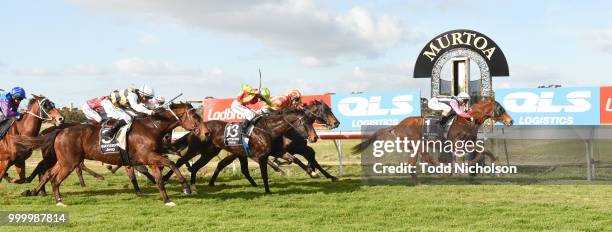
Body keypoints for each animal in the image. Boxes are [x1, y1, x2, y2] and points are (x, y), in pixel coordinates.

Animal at [16, 102, 208, 206]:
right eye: (196, 117)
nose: (206, 133)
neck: (152, 128)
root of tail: (59, 131)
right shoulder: (149, 157)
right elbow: (172, 163)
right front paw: (186, 187)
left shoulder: (151, 159)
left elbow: (160, 179)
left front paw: (167, 200)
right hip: (69, 163)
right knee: (55, 179)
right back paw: (59, 201)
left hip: (63, 161)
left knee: (49, 173)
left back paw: (38, 192)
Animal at [352, 97, 512, 184]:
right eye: (500, 109)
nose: (511, 121)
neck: (467, 120)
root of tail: (398, 126)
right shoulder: (457, 144)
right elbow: (476, 153)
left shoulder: (469, 143)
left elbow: (483, 150)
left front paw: (489, 162)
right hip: (417, 143)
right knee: (427, 157)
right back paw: (444, 171)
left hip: (412, 147)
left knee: (411, 164)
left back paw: (417, 182)